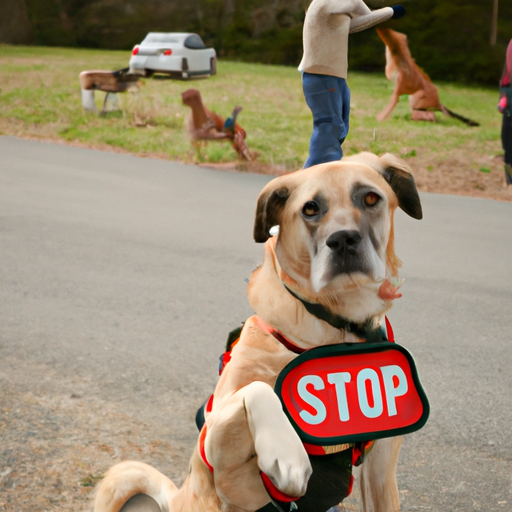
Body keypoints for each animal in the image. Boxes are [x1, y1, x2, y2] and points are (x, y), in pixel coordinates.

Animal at [94, 152, 422, 512]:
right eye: (310, 208)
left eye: (371, 198)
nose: (343, 240)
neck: (337, 329)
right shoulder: (218, 449)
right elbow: (258, 389)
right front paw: (287, 456)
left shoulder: (380, 470)